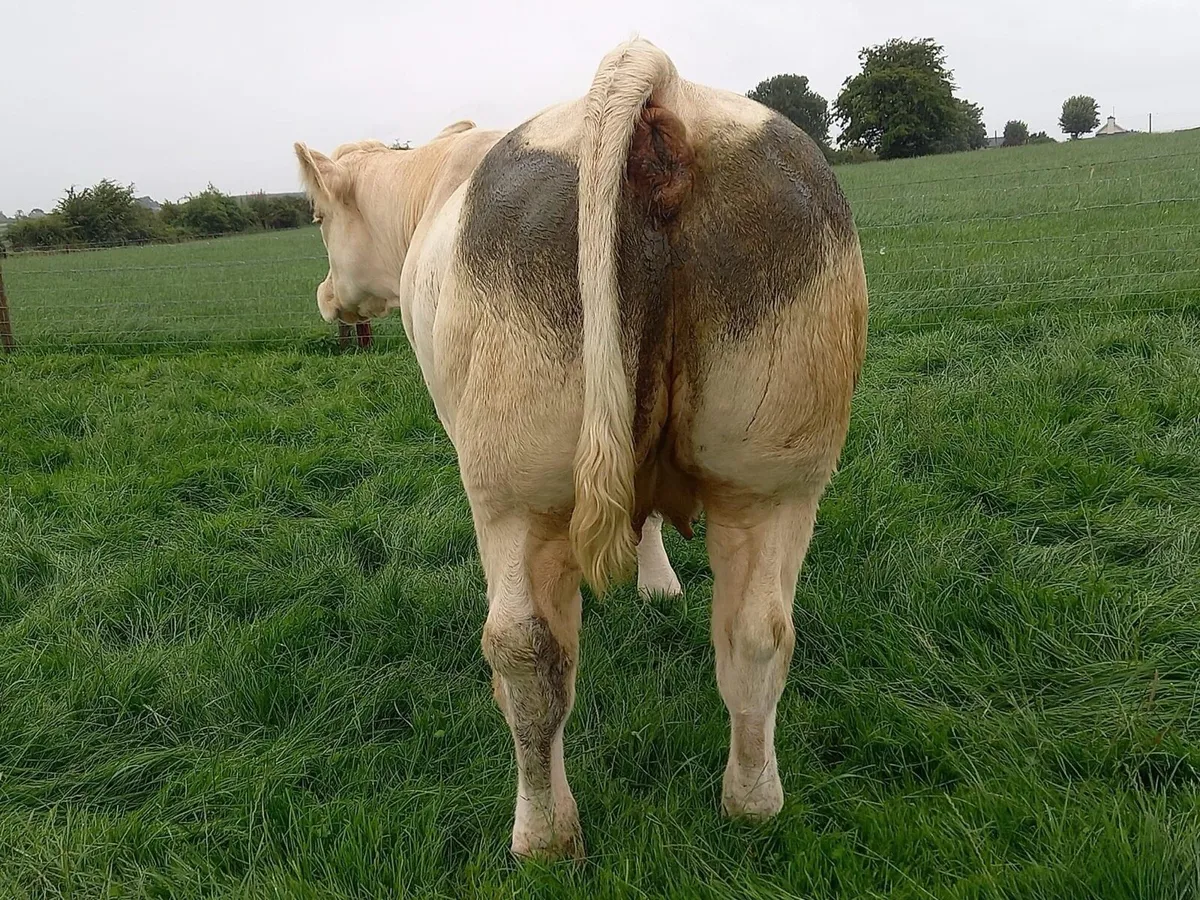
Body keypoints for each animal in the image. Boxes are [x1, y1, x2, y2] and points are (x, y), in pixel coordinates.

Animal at [295, 37, 868, 860]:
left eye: (314, 214)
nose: (324, 299)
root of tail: (661, 88)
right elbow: (651, 521)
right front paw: (659, 587)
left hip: (517, 490)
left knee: (526, 653)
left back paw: (542, 837)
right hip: (776, 476)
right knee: (757, 635)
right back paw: (753, 805)